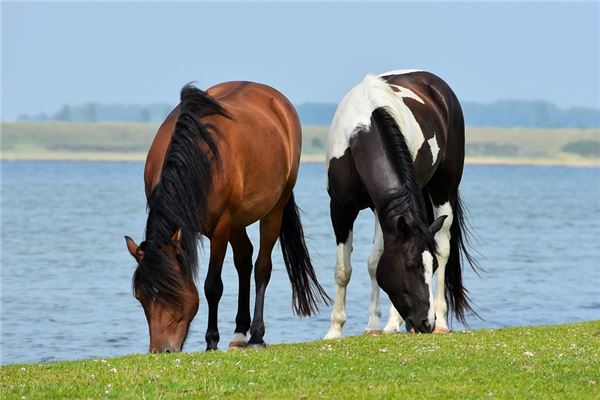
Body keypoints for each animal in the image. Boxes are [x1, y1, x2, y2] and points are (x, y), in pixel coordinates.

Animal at [122, 83, 328, 352]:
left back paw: (256, 336)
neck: (198, 156)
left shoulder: (220, 227)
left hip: (273, 209)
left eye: (174, 291)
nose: (161, 350)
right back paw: (239, 332)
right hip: (238, 221)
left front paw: (211, 341)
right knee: (244, 260)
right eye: (140, 296)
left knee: (262, 267)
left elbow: (212, 285)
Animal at [326, 69, 476, 338]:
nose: (425, 323)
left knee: (444, 247)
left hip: (444, 190)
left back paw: (434, 321)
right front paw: (335, 329)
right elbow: (343, 269)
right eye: (410, 265)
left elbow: (375, 262)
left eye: (431, 266)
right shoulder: (340, 207)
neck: (362, 129)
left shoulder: (381, 210)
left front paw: (379, 324)